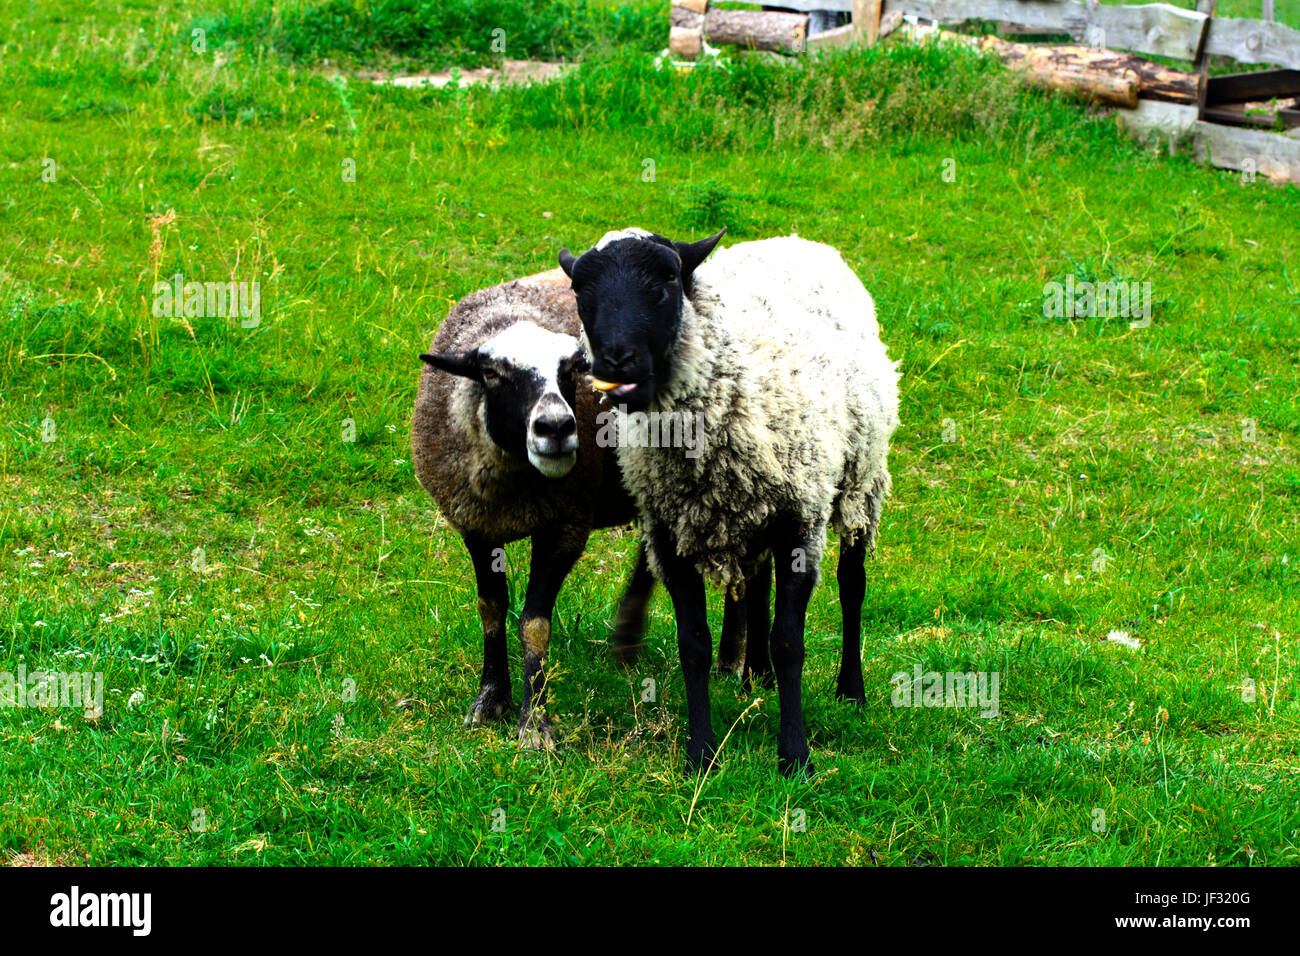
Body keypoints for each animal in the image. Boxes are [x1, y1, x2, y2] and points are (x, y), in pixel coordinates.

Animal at [411, 269, 745, 750]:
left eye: (571, 370)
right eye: (492, 374)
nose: (556, 427)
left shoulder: (565, 525)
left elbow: (533, 623)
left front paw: (534, 724)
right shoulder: (477, 524)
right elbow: (491, 608)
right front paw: (490, 699)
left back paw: (733, 663)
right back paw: (627, 638)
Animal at [558, 228, 900, 775]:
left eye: (667, 280)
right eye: (579, 291)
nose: (615, 361)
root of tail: (796, 239)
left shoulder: (801, 521)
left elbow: (791, 643)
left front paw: (795, 757)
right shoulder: (670, 535)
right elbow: (693, 645)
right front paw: (700, 753)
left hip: (859, 479)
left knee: (852, 584)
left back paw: (851, 689)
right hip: (756, 511)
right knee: (758, 583)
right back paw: (754, 674)